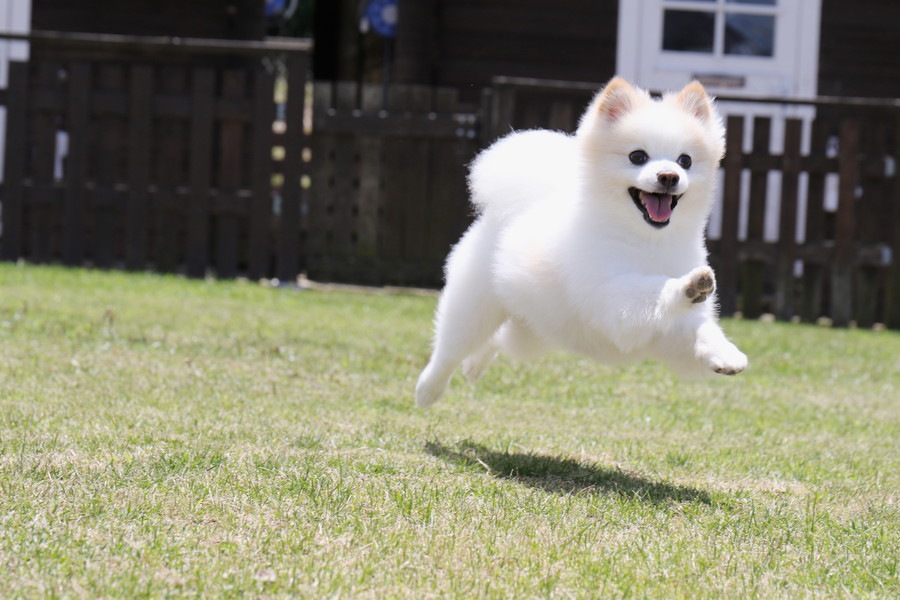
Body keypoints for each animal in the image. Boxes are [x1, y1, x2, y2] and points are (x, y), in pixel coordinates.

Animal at [418, 77, 748, 408]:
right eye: (638, 156)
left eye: (685, 160)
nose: (669, 176)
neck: (648, 239)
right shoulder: (610, 295)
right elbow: (652, 288)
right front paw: (687, 286)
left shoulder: (672, 331)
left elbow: (700, 329)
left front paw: (725, 353)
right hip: (476, 306)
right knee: (451, 347)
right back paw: (428, 389)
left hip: (535, 328)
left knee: (499, 340)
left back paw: (474, 366)